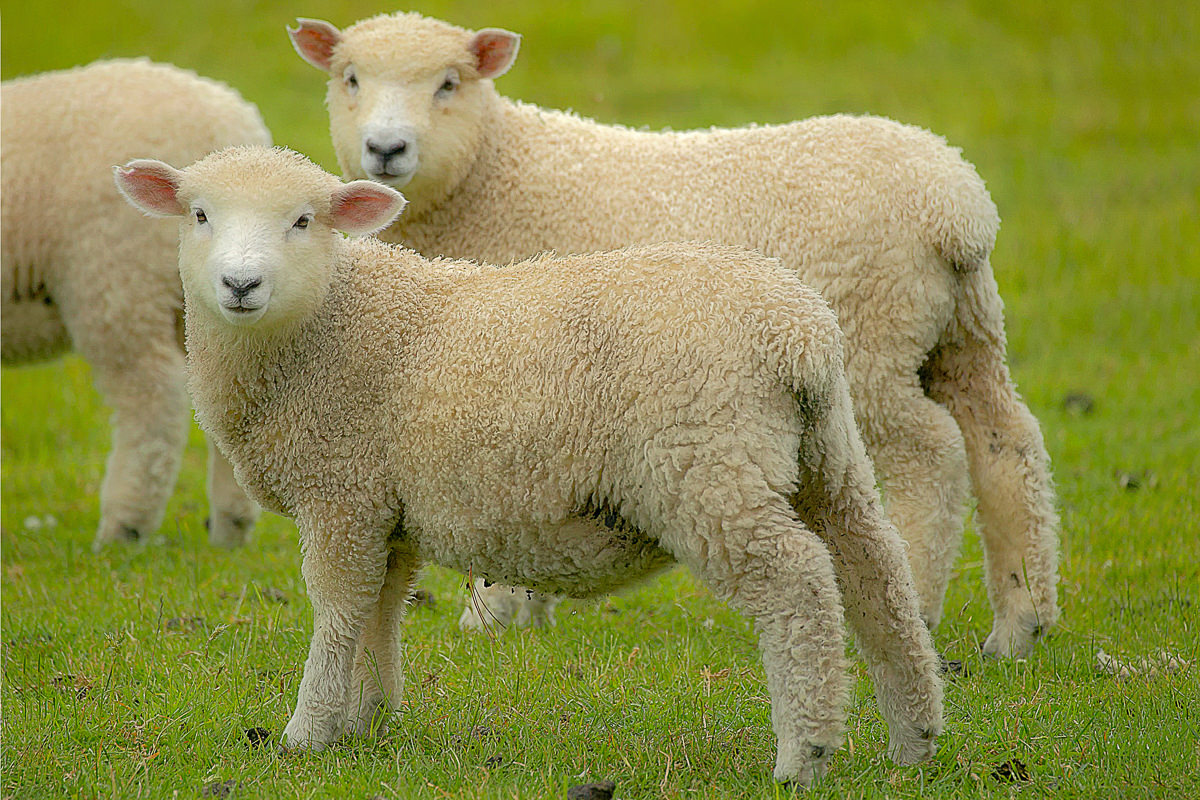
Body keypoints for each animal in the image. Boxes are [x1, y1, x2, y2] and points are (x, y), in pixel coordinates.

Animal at [113, 145, 944, 787]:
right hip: (825, 453)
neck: (324, 324)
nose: (240, 285)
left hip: (706, 462)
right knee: (876, 572)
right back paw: (914, 738)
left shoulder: (341, 491)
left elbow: (338, 608)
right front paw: (370, 720)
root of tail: (797, 333)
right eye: (199, 215)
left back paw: (805, 754)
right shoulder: (386, 506)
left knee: (799, 584)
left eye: (303, 221)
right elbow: (382, 609)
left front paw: (309, 729)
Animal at [288, 12, 1061, 658]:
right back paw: (1020, 623)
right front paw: (527, 607)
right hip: (961, 330)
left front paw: (495, 610)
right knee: (1007, 443)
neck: (495, 173)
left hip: (876, 334)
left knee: (931, 454)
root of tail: (957, 205)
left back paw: (922, 606)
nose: (386, 148)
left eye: (449, 83)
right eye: (349, 78)